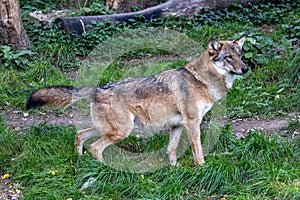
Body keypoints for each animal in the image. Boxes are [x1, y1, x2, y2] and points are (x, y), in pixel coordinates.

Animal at [26, 35, 248, 166]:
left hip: (109, 129)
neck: (202, 79)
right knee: (95, 147)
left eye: (240, 55)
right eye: (228, 57)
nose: (246, 68)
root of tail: (98, 89)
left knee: (80, 135)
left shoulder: (177, 125)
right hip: (122, 131)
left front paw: (174, 169)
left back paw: (81, 162)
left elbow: (171, 150)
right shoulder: (193, 123)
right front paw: (201, 168)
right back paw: (104, 170)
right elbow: (199, 150)